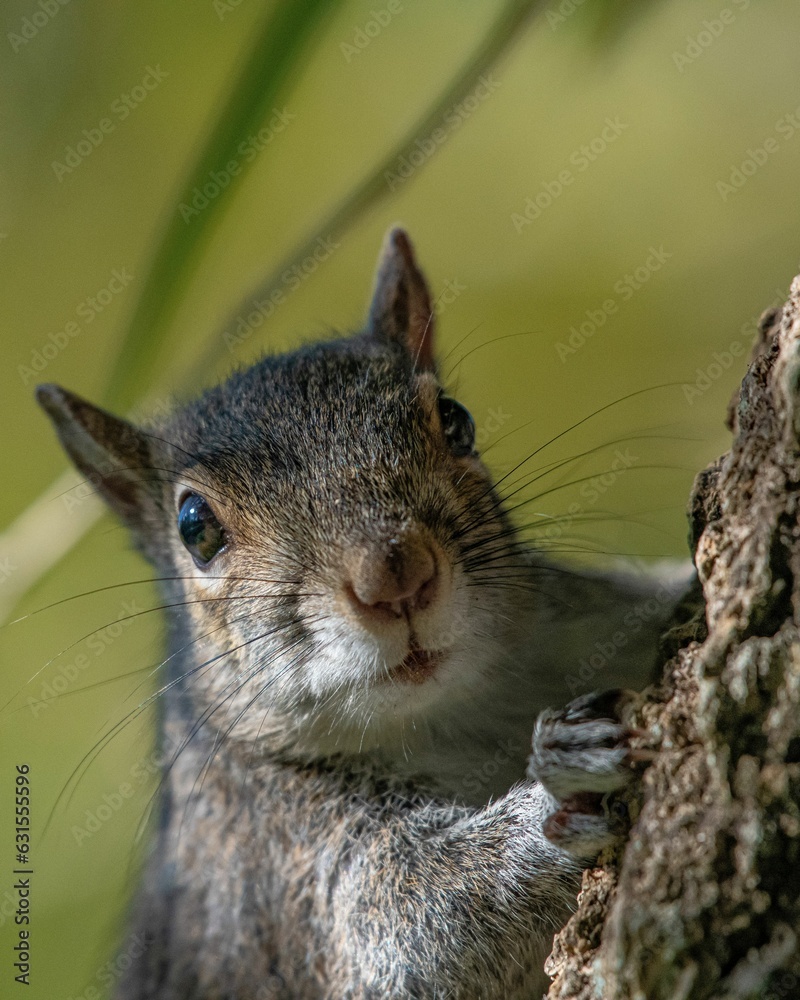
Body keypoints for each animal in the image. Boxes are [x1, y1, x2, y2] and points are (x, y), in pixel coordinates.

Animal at [37, 228, 690, 999]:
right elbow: (423, 923)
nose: (394, 576)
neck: (454, 715)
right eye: (194, 526)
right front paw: (560, 795)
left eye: (456, 421)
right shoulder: (275, 866)